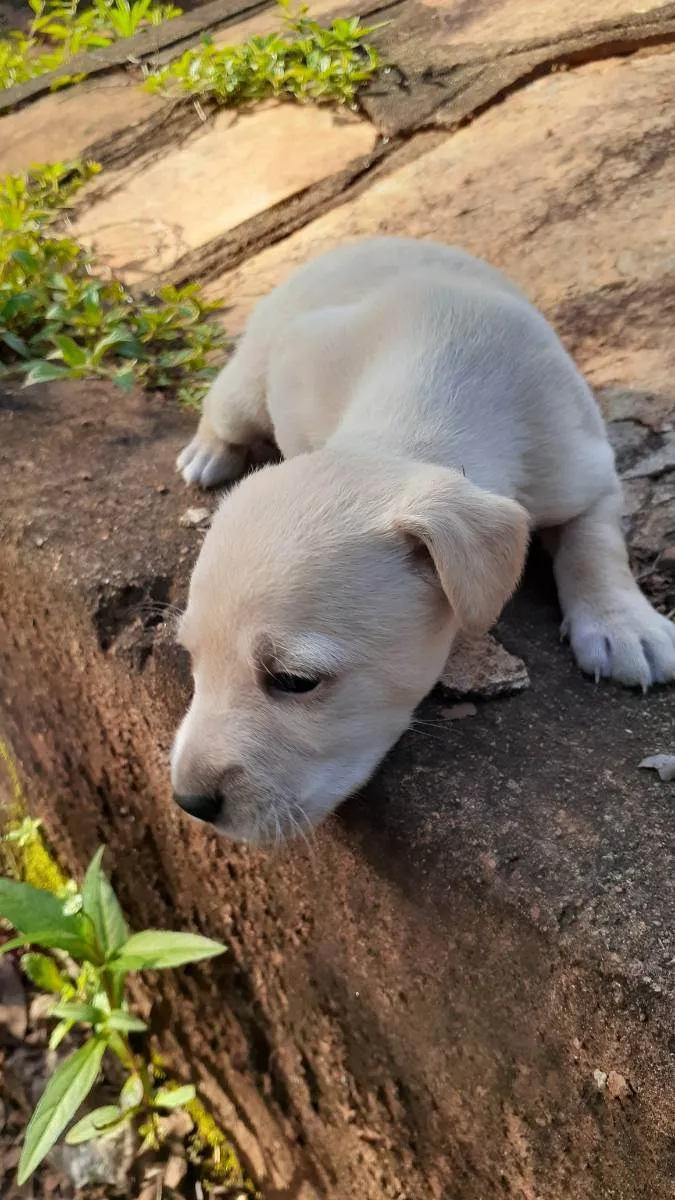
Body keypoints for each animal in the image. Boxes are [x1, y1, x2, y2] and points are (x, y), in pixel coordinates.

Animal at [169, 236, 672, 844]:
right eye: (191, 658)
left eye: (294, 681)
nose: (189, 803)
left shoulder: (584, 468)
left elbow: (596, 543)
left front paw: (623, 625)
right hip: (246, 386)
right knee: (223, 410)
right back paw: (208, 453)